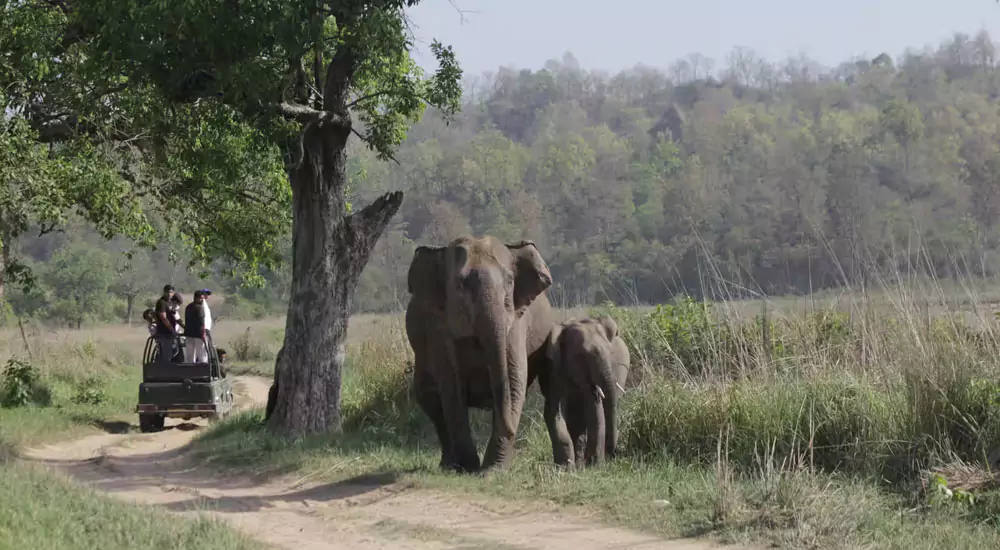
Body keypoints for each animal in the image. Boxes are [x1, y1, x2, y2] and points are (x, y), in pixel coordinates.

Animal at [408, 236, 564, 474]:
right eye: (460, 285)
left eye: (510, 282)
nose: (513, 432)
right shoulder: (438, 327)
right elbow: (451, 387)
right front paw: (469, 468)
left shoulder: (516, 321)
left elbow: (514, 380)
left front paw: (492, 471)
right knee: (431, 401)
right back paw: (449, 465)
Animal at [544, 316, 628, 468]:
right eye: (582, 355)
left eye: (611, 353)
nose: (613, 454)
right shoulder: (554, 370)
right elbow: (555, 411)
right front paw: (566, 468)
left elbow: (595, 411)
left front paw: (595, 466)